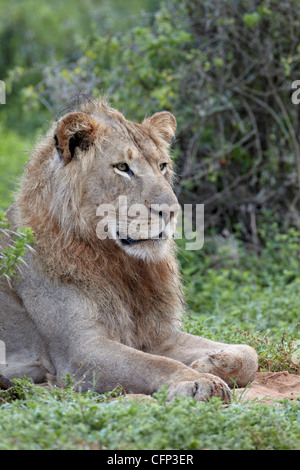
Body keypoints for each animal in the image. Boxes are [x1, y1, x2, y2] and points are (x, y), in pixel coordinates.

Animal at [0, 99, 258, 400]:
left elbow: (249, 353)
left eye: (162, 166)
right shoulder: (79, 350)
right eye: (123, 167)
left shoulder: (158, 335)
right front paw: (199, 380)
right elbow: (154, 364)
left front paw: (208, 363)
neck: (121, 264)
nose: (172, 211)